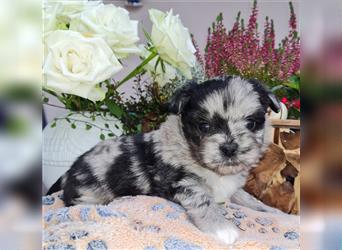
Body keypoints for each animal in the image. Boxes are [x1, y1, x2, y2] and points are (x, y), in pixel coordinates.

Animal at [47, 76, 280, 244]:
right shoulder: (182, 182)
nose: (230, 148)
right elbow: (203, 200)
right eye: (204, 126)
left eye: (251, 123)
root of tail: (69, 172)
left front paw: (271, 210)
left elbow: (247, 197)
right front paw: (221, 228)